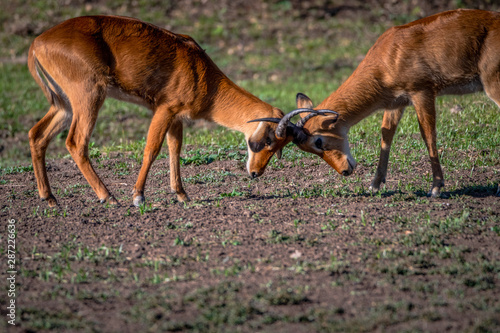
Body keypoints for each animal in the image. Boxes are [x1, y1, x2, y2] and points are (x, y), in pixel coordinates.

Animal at [28, 16, 336, 208]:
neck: (202, 75)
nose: (255, 173)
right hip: (89, 98)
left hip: (64, 105)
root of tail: (38, 42)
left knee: (37, 135)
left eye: (282, 148)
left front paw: (182, 195)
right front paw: (138, 197)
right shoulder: (164, 109)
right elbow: (152, 149)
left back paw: (49, 198)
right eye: (269, 140)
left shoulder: (177, 118)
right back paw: (108, 197)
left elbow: (174, 150)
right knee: (75, 142)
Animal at [266, 8, 500, 197]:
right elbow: (386, 135)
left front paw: (435, 188)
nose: (345, 171)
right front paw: (374, 185)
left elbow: (428, 135)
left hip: (492, 84)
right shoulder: (396, 103)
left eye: (318, 141)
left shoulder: (422, 92)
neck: (388, 56)